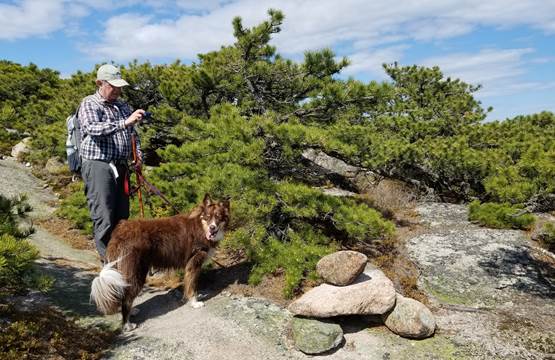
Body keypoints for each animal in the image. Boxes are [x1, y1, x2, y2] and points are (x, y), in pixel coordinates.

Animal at [91, 195, 230, 330]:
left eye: (218, 217)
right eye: (207, 217)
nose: (212, 228)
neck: (200, 226)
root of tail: (119, 233)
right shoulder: (193, 263)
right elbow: (192, 285)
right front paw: (194, 302)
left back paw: (131, 311)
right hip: (136, 272)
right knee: (126, 297)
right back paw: (127, 324)